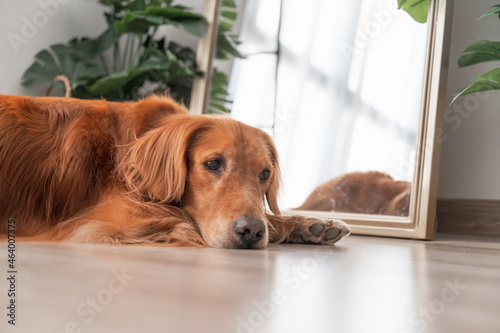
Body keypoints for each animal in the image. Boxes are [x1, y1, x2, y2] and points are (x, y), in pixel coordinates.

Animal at [0, 94, 350, 248]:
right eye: (213, 164)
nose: (251, 232)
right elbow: (186, 218)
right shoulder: (112, 219)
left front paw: (315, 224)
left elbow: (270, 214)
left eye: (264, 174)